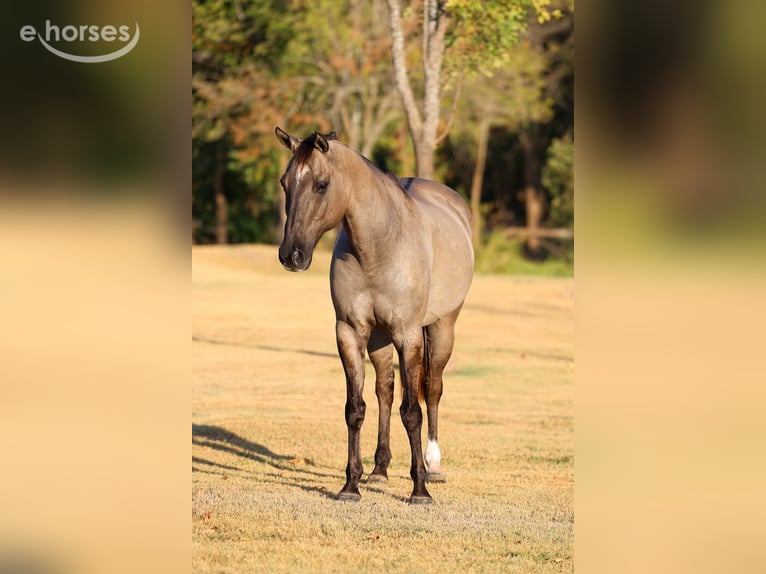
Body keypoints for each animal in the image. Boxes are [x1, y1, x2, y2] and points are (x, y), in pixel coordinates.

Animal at [275, 127, 474, 504]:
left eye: (321, 184)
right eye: (284, 183)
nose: (291, 255)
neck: (378, 247)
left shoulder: (408, 334)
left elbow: (413, 412)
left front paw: (420, 490)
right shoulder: (350, 332)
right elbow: (356, 408)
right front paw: (350, 485)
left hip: (443, 328)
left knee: (433, 389)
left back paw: (434, 466)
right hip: (380, 339)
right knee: (386, 389)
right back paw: (379, 470)